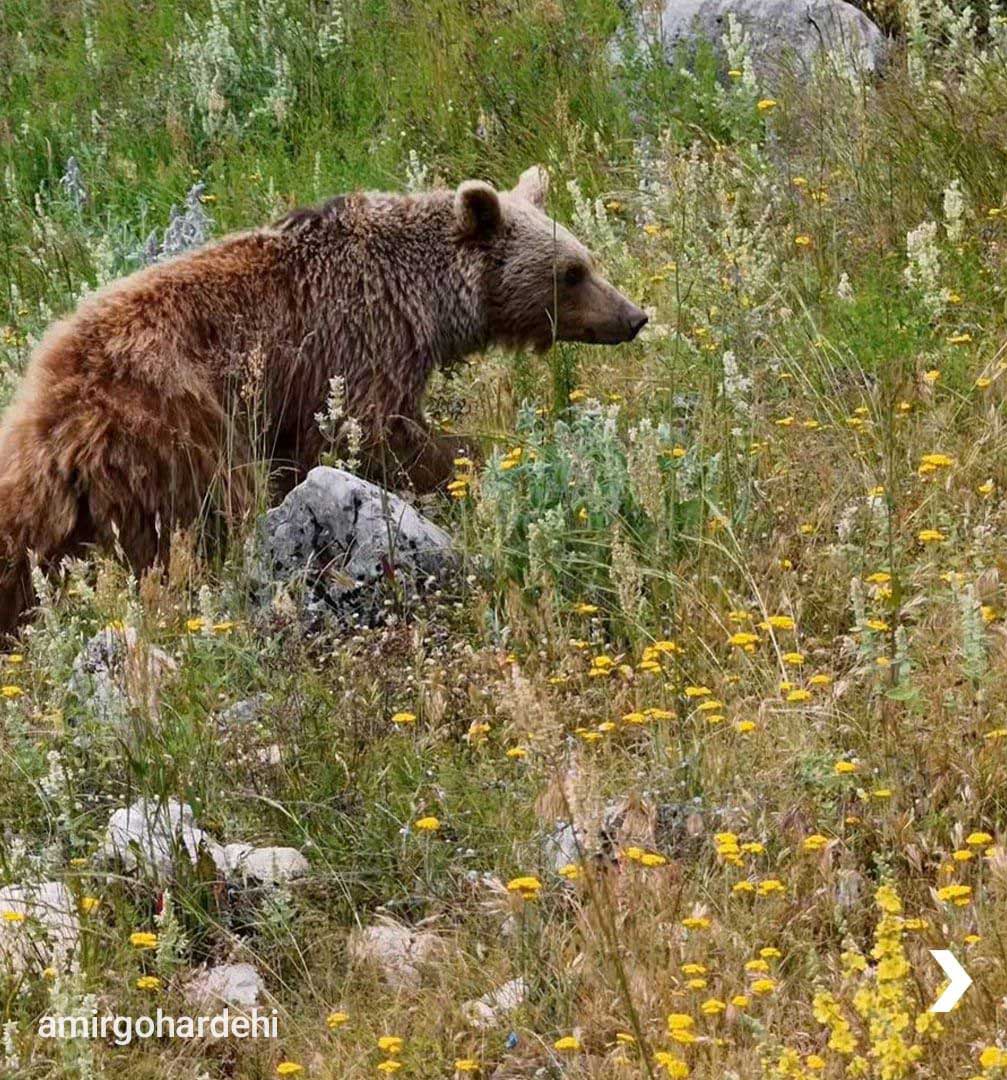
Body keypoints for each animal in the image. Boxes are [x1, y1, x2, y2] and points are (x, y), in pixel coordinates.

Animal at [0, 164, 643, 630]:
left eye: (586, 260)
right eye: (572, 272)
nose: (633, 316)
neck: (425, 300)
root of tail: (54, 413)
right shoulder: (357, 342)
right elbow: (375, 433)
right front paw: (476, 457)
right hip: (175, 434)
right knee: (198, 524)